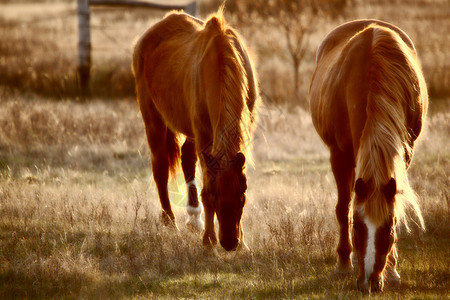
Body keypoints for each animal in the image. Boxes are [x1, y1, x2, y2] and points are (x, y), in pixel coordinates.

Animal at [132, 9, 258, 252]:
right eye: (216, 196)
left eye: (242, 195)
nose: (229, 242)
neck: (221, 63)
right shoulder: (204, 134)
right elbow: (206, 182)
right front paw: (209, 240)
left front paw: (244, 243)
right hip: (153, 119)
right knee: (160, 168)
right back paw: (170, 221)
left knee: (186, 159)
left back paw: (193, 217)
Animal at [310, 19, 428, 292]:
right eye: (357, 227)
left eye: (389, 229)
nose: (369, 283)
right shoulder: (339, 155)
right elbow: (343, 208)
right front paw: (343, 262)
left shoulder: (404, 152)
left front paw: (393, 269)